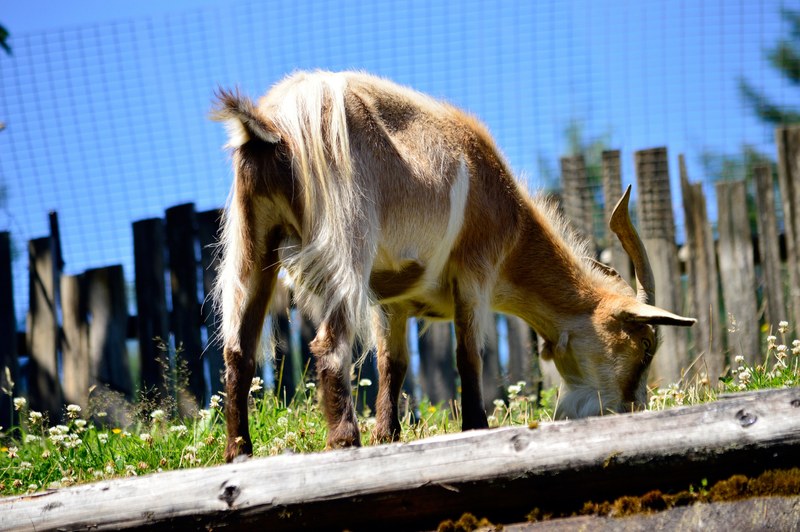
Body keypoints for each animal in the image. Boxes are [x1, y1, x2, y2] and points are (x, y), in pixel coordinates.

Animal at [211, 71, 695, 462]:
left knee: (238, 349)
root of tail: (273, 123)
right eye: (644, 349)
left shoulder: (393, 302)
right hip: (347, 240)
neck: (507, 210)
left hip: (254, 240)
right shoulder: (475, 274)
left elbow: (393, 365)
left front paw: (388, 436)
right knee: (329, 345)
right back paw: (345, 442)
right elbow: (469, 356)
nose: (632, 410)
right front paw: (475, 428)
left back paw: (239, 453)